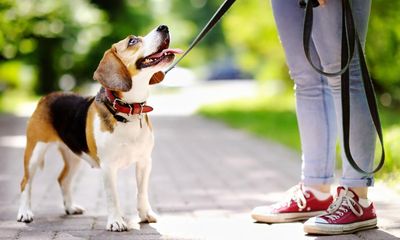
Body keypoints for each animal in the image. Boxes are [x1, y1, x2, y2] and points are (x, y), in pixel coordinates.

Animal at [16, 25, 182, 232]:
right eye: (132, 41)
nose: (164, 27)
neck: (128, 110)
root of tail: (47, 97)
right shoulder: (108, 167)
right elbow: (113, 196)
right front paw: (116, 221)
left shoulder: (144, 162)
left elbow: (142, 192)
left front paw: (145, 215)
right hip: (34, 152)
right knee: (25, 182)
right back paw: (25, 213)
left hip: (74, 155)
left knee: (63, 179)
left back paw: (70, 207)